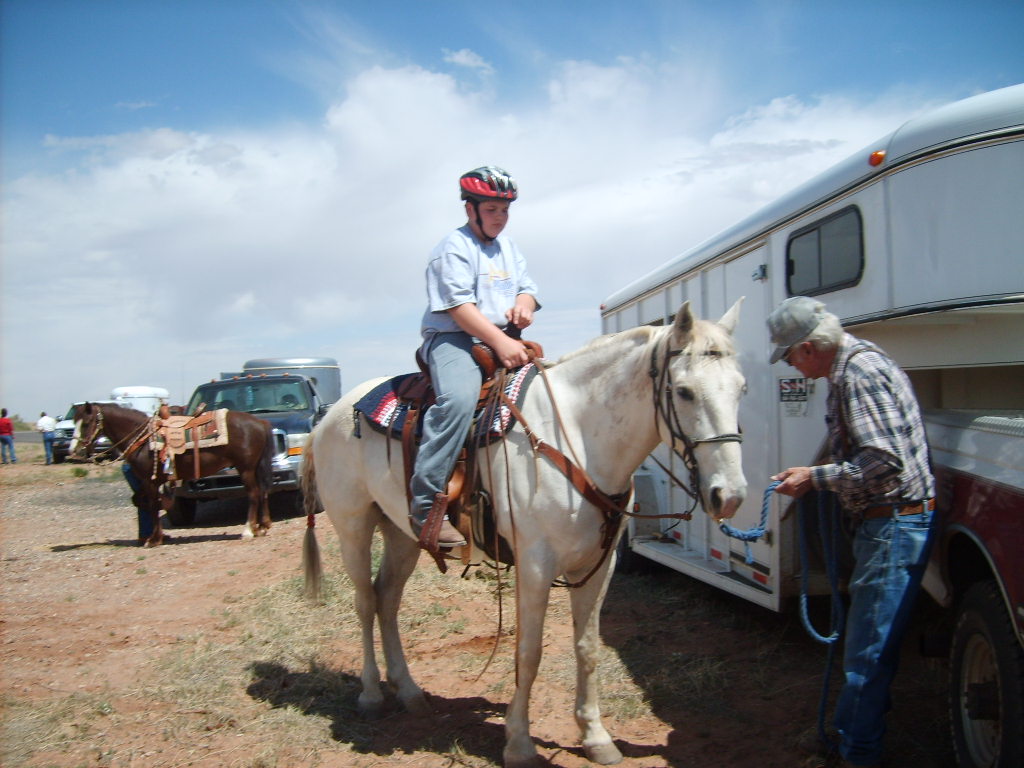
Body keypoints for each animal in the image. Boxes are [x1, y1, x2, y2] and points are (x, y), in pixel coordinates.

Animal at [74, 403, 274, 548]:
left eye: (86, 423)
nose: (75, 450)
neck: (144, 439)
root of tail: (260, 423)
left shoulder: (149, 481)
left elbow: (152, 506)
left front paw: (153, 540)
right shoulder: (150, 483)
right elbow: (146, 503)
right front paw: (157, 536)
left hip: (246, 469)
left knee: (254, 494)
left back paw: (248, 530)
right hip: (254, 468)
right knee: (262, 493)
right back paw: (262, 527)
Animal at [301, 303, 745, 768]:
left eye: (741, 389)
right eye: (684, 392)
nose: (729, 495)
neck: (576, 438)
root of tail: (328, 417)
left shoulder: (599, 565)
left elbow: (587, 647)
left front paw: (595, 736)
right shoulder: (535, 566)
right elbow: (528, 652)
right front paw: (518, 743)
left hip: (402, 534)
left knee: (387, 598)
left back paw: (408, 691)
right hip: (353, 525)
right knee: (365, 602)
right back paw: (371, 694)